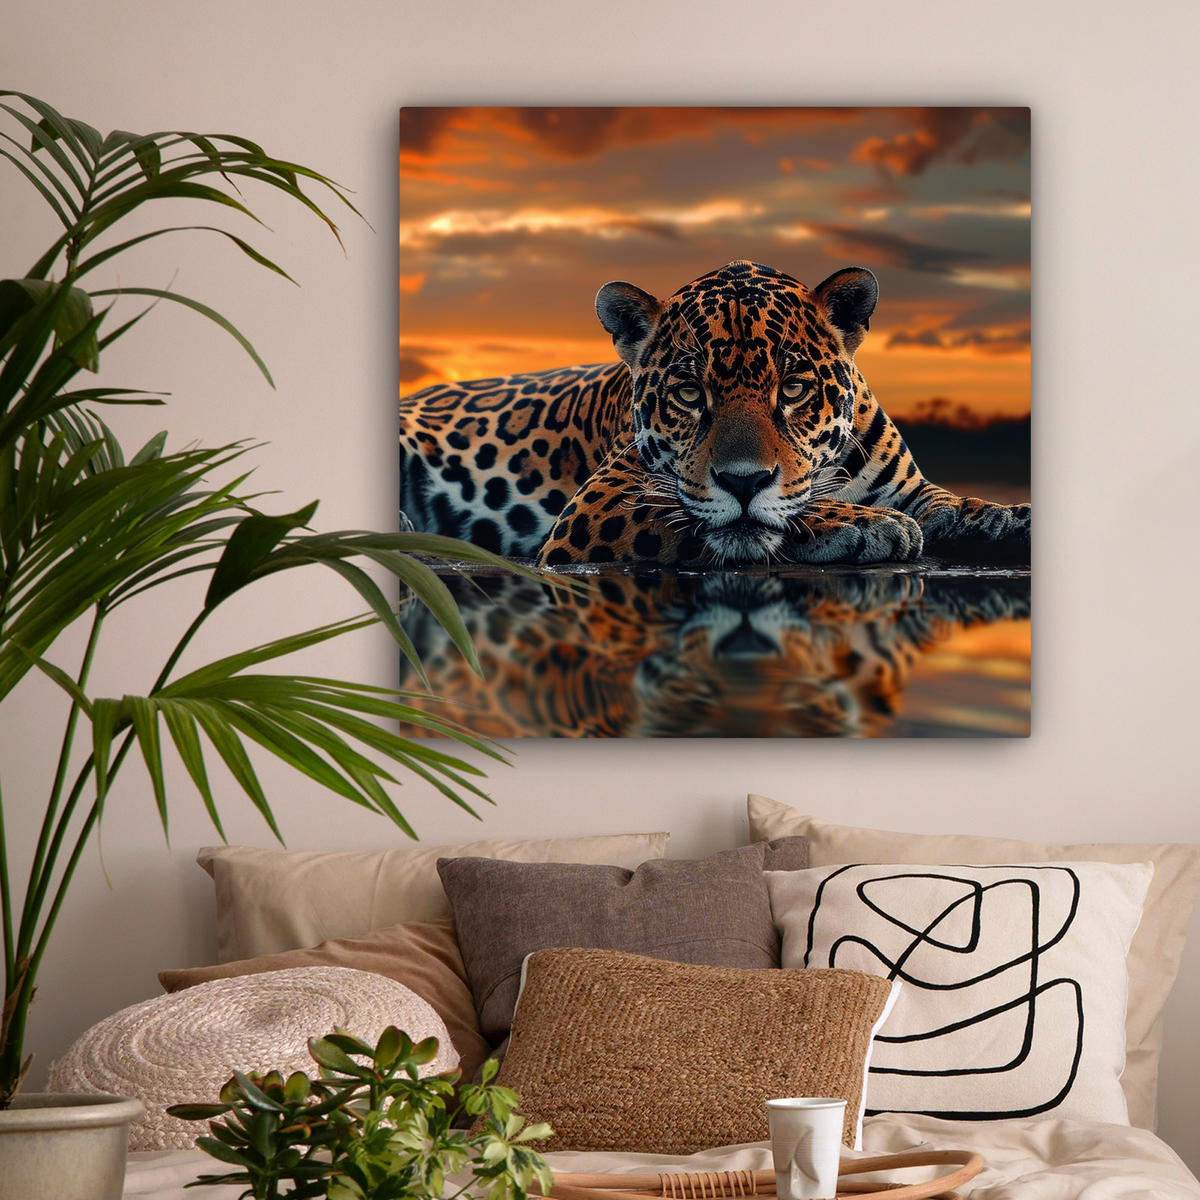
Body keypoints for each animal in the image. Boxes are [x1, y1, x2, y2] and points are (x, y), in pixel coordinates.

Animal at [398, 260, 1030, 567]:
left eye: (793, 388)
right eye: (688, 394)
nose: (743, 482)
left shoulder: (912, 488)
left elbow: (955, 503)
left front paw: (1008, 518)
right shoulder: (598, 506)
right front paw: (868, 525)